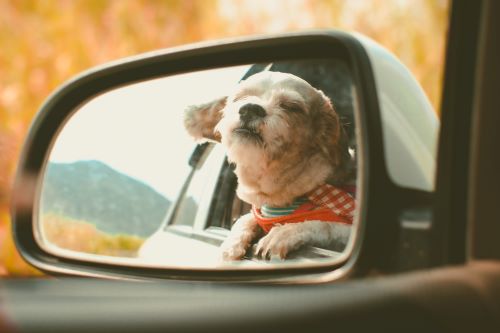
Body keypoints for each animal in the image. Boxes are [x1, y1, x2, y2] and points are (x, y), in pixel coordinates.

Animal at [184, 71, 356, 260]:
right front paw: (232, 243)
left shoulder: (345, 226)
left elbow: (321, 224)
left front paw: (281, 234)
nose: (250, 109)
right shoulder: (258, 213)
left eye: (291, 107)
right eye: (239, 98)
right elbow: (245, 219)